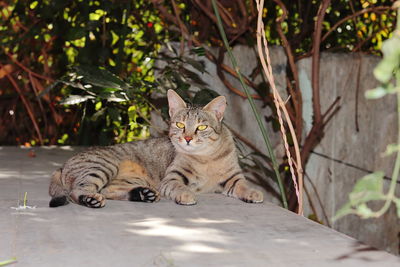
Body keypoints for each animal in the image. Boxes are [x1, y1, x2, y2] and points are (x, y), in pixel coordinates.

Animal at [48, 89, 264, 208]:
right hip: (103, 167)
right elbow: (179, 186)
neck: (206, 159)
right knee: (78, 190)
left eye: (201, 127)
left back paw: (143, 194)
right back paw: (91, 200)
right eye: (179, 124)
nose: (187, 138)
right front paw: (186, 194)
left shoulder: (233, 178)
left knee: (108, 189)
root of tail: (63, 166)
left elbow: (243, 185)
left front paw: (253, 192)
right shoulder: (171, 179)